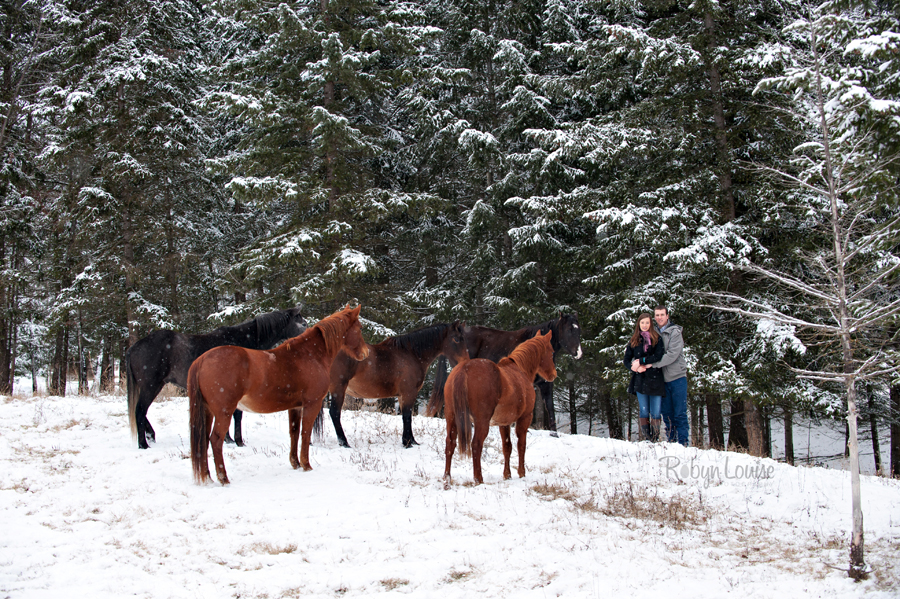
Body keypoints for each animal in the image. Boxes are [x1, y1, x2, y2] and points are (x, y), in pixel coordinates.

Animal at [125, 308, 310, 448]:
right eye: (302, 323)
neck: (242, 340)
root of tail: (134, 347)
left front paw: (228, 439)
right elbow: (236, 415)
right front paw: (238, 441)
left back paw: (150, 436)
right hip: (151, 386)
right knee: (140, 410)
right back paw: (143, 444)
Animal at [190, 308, 370, 486]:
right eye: (360, 328)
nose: (365, 353)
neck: (309, 355)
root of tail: (202, 359)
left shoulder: (295, 407)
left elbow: (294, 432)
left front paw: (295, 463)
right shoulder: (312, 404)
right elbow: (305, 433)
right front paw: (306, 465)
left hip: (207, 411)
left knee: (203, 440)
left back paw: (207, 477)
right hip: (223, 412)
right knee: (215, 440)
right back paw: (223, 478)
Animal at [320, 322, 468, 448]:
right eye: (456, 339)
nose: (465, 362)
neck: (411, 354)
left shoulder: (402, 396)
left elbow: (407, 416)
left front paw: (412, 441)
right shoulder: (409, 393)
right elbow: (407, 416)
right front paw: (407, 443)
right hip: (338, 388)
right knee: (335, 413)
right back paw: (344, 443)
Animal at [428, 314, 584, 432]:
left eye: (579, 330)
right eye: (569, 329)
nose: (579, 353)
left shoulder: (545, 384)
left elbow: (550, 408)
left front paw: (554, 433)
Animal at [442, 330, 556, 490]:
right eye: (551, 352)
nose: (553, 374)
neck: (520, 370)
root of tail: (464, 368)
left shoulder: (504, 423)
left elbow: (507, 447)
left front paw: (507, 475)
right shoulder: (524, 418)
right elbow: (521, 445)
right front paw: (521, 473)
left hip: (452, 418)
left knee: (450, 444)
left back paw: (447, 480)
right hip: (481, 422)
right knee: (476, 445)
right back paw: (478, 479)